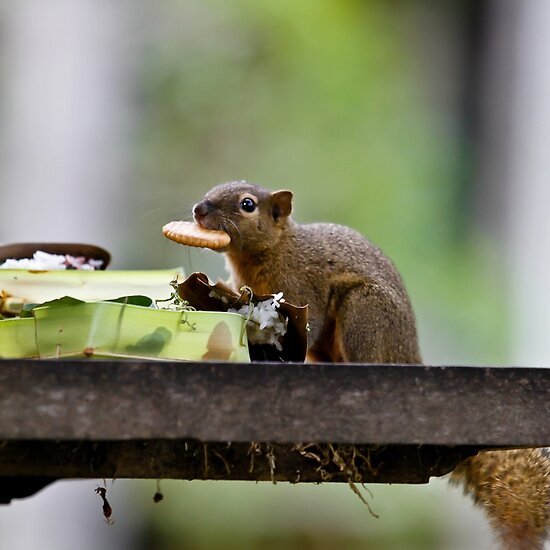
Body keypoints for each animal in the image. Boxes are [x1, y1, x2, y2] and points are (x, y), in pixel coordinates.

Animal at [193, 182, 550, 550]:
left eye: (247, 205)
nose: (198, 210)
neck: (276, 249)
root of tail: (408, 356)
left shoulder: (303, 287)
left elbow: (309, 323)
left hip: (363, 311)